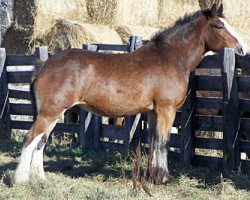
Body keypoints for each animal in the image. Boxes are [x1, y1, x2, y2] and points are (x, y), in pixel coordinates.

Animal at [12, 3, 246, 184]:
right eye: (219, 26)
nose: (242, 49)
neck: (170, 57)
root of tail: (44, 65)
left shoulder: (153, 112)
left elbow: (153, 141)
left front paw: (153, 176)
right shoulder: (166, 110)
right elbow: (163, 142)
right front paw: (164, 178)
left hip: (52, 114)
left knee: (40, 141)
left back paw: (40, 178)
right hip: (49, 113)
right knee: (30, 138)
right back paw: (20, 180)